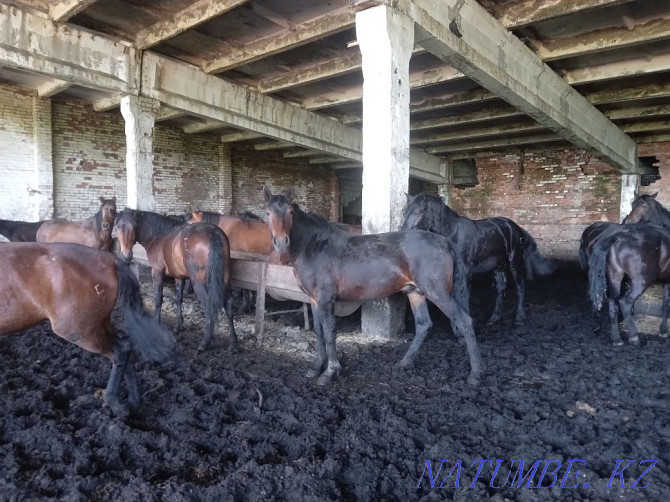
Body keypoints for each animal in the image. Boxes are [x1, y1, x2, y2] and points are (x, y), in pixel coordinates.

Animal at [0, 242, 176, 416]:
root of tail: (110, 260)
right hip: (99, 324)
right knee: (127, 348)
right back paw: (133, 403)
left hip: (79, 331)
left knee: (121, 350)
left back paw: (115, 403)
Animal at [262, 186, 484, 386]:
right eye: (267, 213)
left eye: (290, 212)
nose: (281, 242)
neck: (315, 246)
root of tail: (444, 241)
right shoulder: (314, 300)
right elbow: (318, 331)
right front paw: (316, 367)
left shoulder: (326, 300)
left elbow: (329, 332)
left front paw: (330, 372)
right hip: (416, 292)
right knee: (424, 325)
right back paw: (404, 363)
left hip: (438, 292)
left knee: (464, 321)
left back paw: (475, 374)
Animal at [402, 192, 552, 326]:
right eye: (405, 212)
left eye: (420, 212)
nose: (404, 233)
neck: (453, 233)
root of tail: (517, 228)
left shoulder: (465, 272)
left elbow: (464, 296)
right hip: (497, 267)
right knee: (501, 289)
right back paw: (494, 318)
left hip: (514, 263)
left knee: (520, 287)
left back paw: (520, 318)